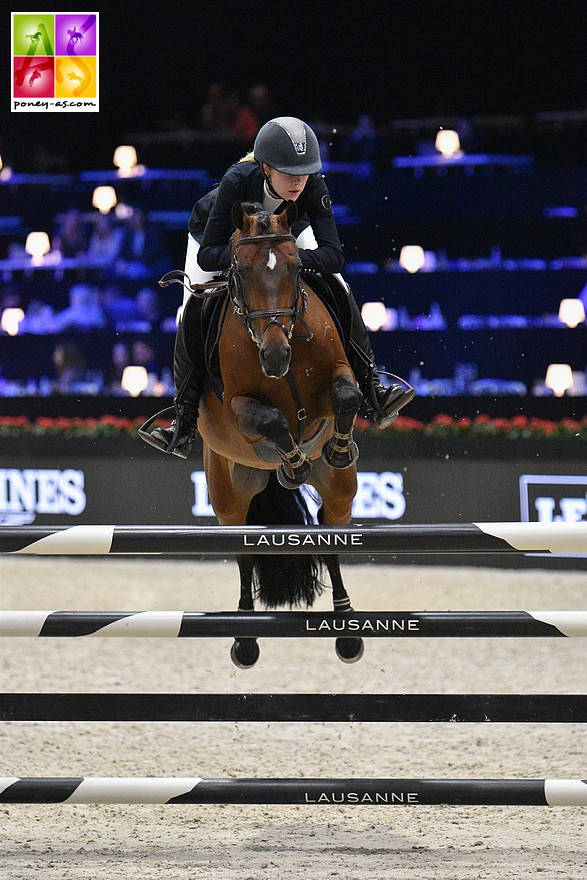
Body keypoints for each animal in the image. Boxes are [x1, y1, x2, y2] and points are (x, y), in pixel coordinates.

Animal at [144, 199, 362, 668]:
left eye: (297, 267)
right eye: (240, 272)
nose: (275, 357)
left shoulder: (338, 375)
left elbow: (348, 396)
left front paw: (336, 446)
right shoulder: (237, 409)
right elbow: (272, 422)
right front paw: (293, 464)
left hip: (341, 489)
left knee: (330, 531)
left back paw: (347, 629)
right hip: (227, 491)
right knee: (244, 549)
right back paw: (244, 637)